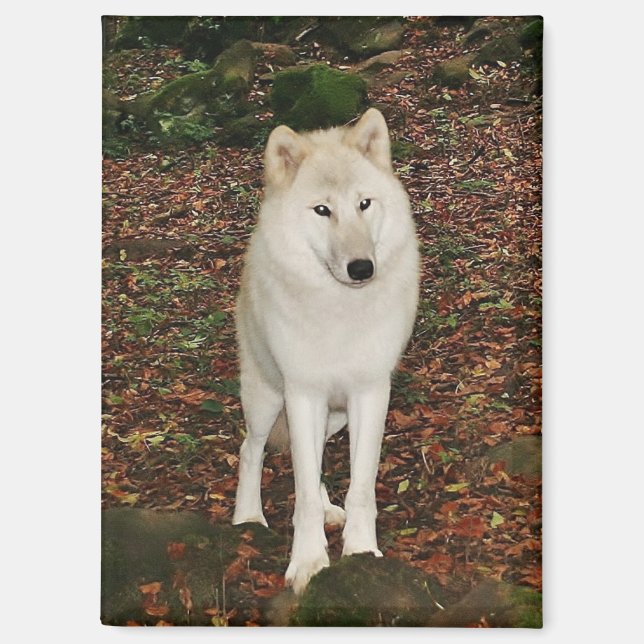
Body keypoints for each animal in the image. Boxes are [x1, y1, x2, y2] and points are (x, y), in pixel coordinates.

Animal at [232, 108, 420, 595]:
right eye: (322, 210)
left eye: (364, 204)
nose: (362, 268)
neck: (339, 312)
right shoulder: (303, 393)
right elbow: (301, 495)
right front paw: (308, 564)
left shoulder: (370, 394)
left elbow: (360, 488)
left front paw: (361, 552)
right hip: (267, 398)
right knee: (251, 449)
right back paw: (248, 517)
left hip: (336, 417)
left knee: (312, 466)